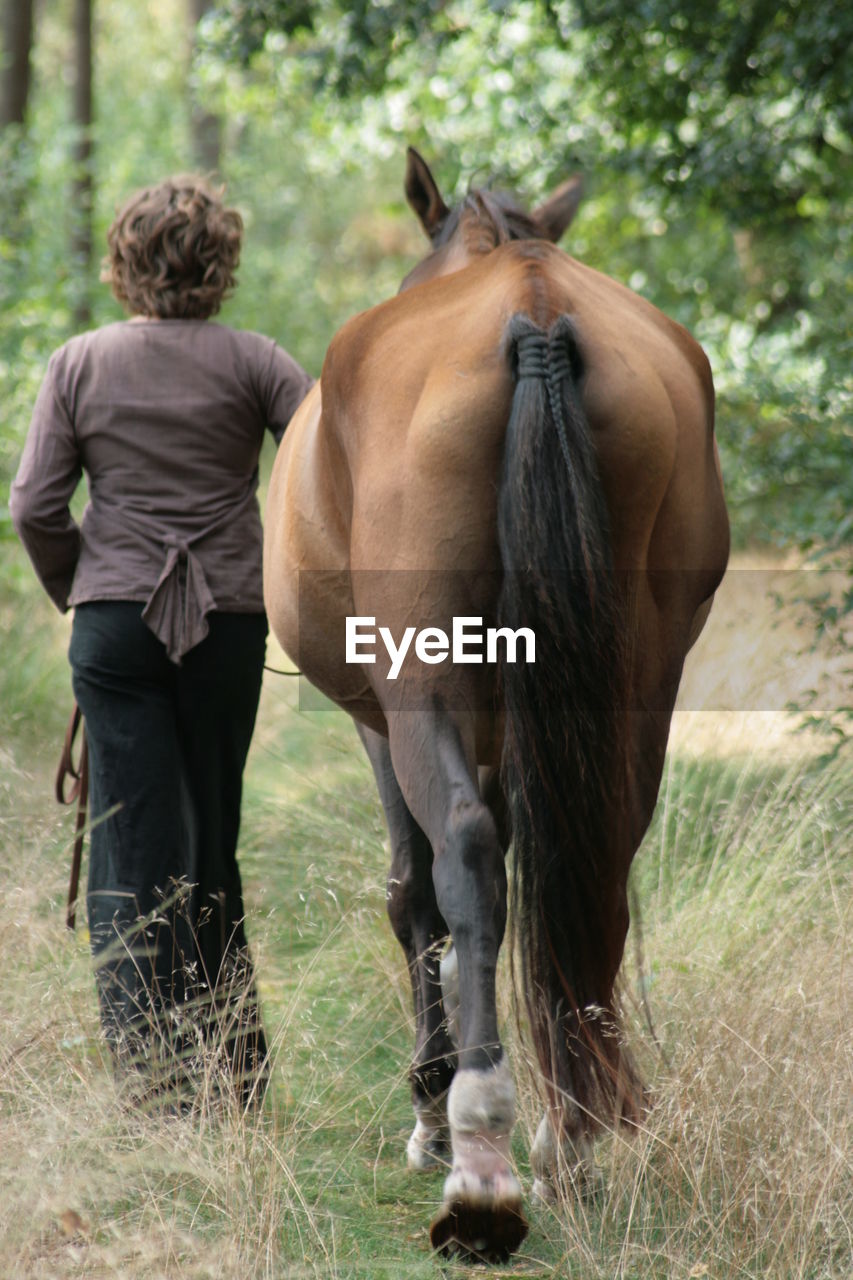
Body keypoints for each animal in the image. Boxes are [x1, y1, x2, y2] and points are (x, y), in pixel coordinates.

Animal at [262, 149, 727, 1259]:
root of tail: (537, 310)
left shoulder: (381, 720)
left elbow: (415, 891)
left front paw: (430, 1103)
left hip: (420, 681)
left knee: (467, 853)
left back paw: (477, 1149)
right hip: (637, 678)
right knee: (596, 859)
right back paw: (574, 1133)